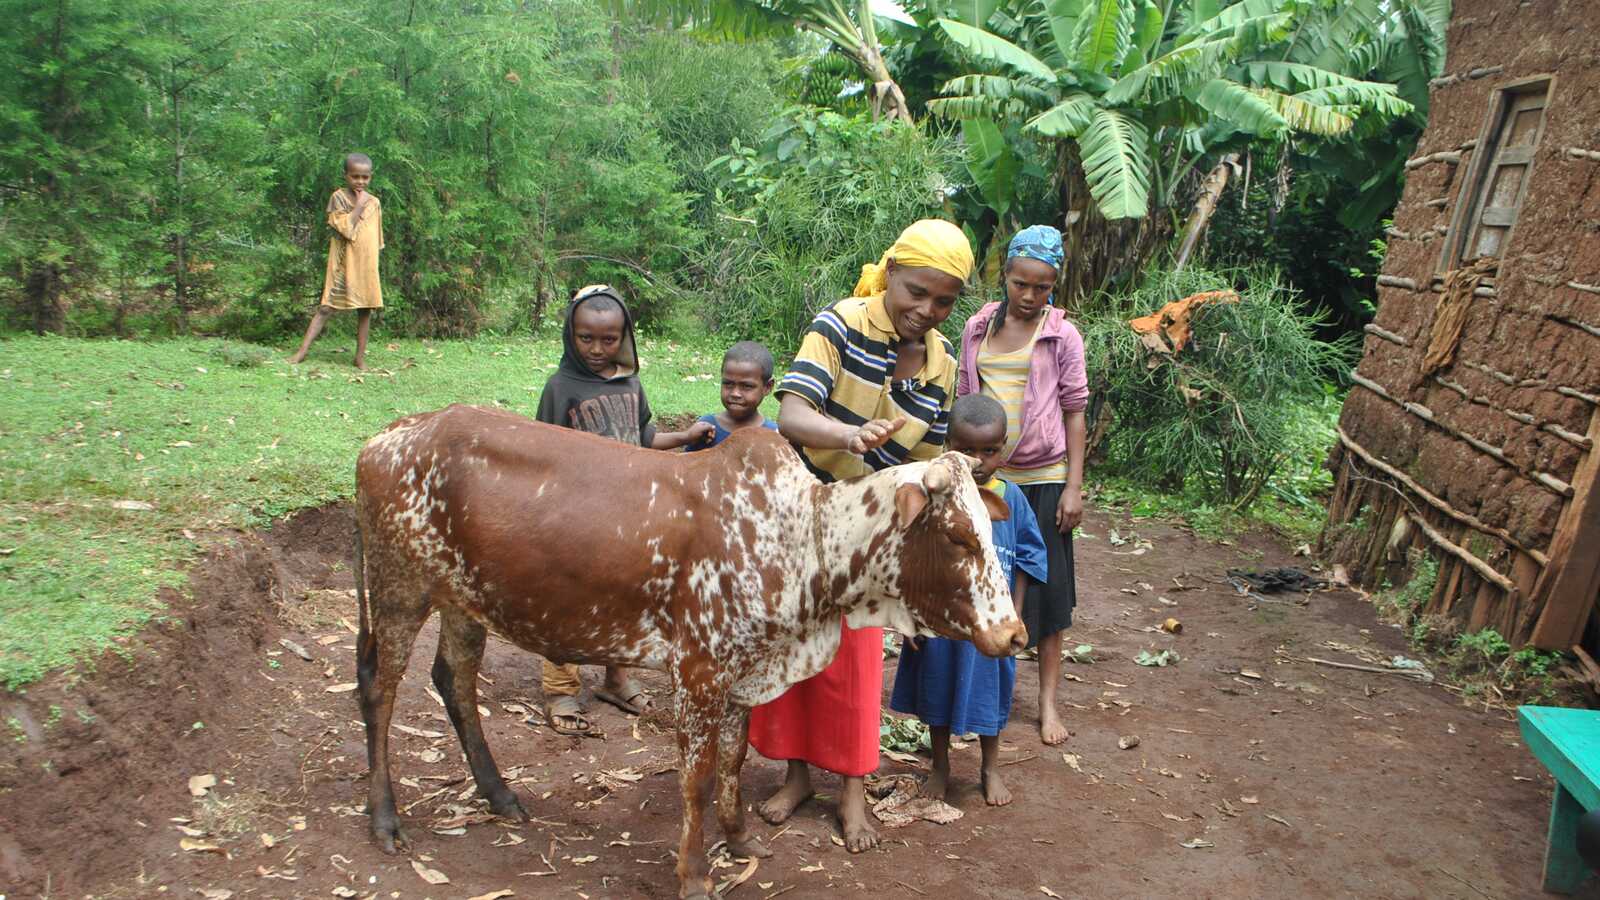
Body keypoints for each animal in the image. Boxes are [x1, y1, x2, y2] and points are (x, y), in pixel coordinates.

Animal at [350, 403, 1024, 890]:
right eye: (959, 537)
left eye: (987, 531)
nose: (1014, 634)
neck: (804, 539)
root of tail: (385, 438)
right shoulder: (698, 673)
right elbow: (696, 780)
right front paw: (695, 874)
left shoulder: (743, 674)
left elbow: (732, 761)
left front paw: (741, 840)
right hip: (399, 587)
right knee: (379, 691)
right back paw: (385, 819)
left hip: (463, 602)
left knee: (454, 681)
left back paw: (499, 794)